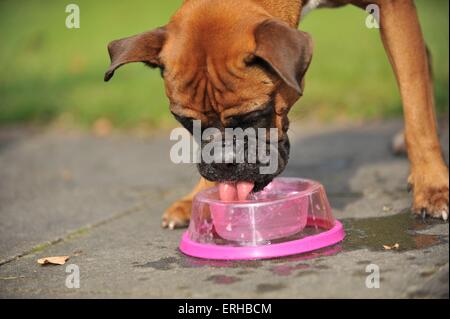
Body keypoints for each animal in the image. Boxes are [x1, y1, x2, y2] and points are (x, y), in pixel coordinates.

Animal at [106, 0, 450, 230]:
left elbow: (415, 100)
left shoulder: (394, 9)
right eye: (185, 123)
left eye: (256, 115)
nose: (224, 162)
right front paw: (198, 198)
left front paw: (433, 185)